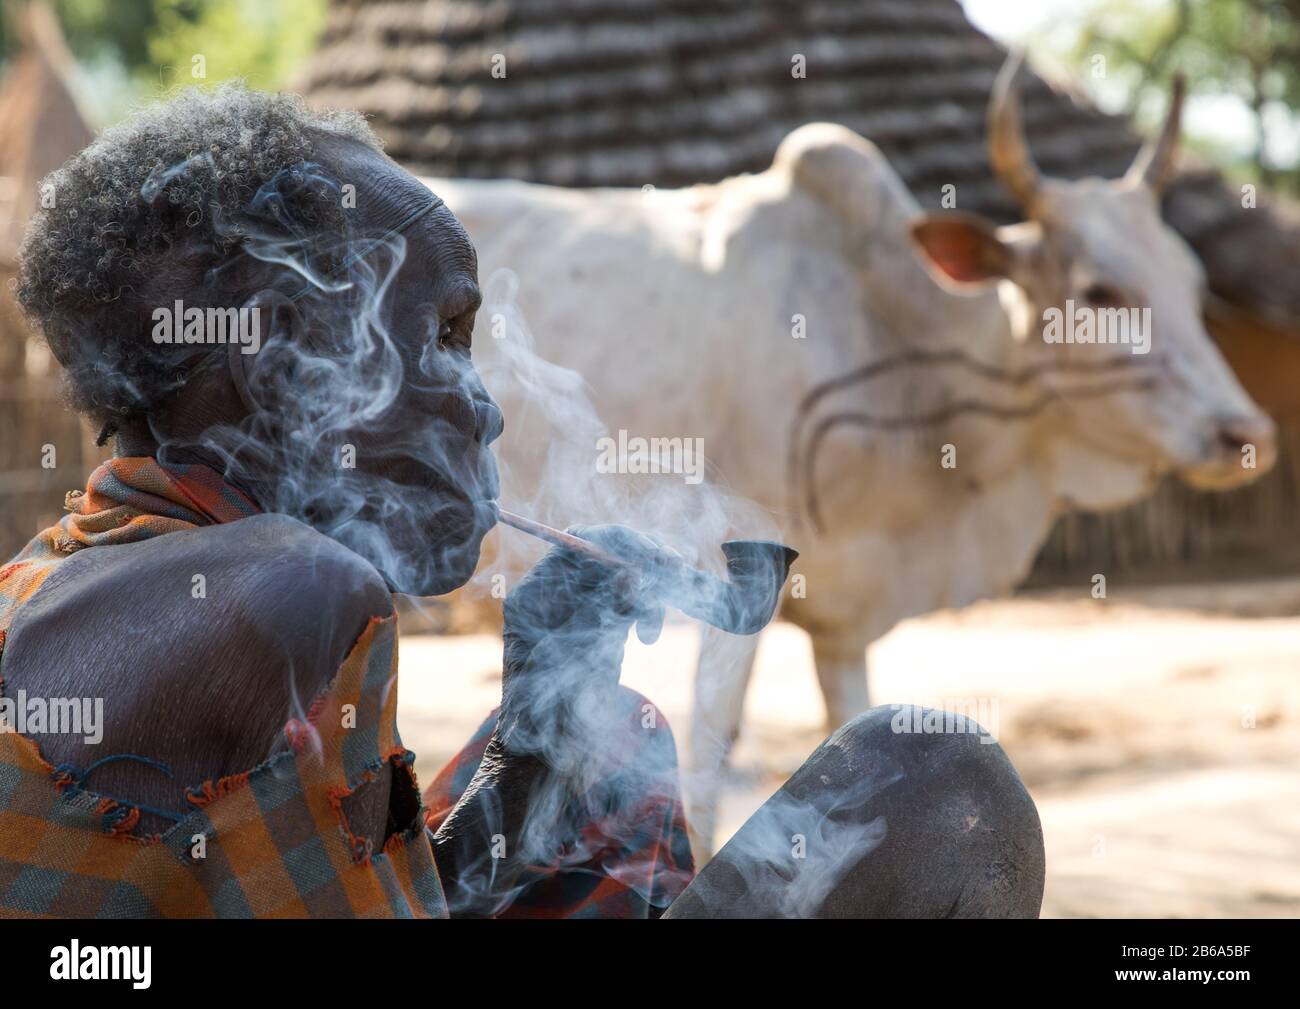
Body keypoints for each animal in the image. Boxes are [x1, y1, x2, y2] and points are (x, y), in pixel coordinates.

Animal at [423, 57, 1268, 852]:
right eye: (1098, 291)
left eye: (1193, 283)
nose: (1246, 434)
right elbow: (704, 761)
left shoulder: (844, 625)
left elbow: (857, 727)